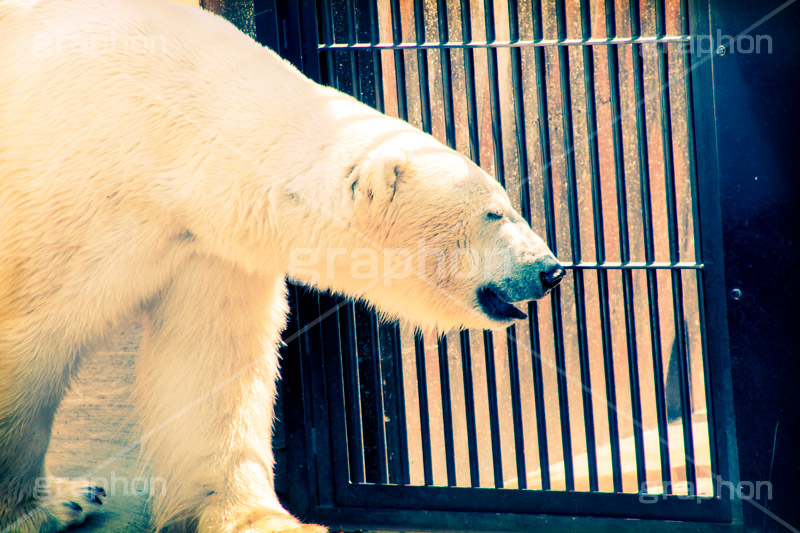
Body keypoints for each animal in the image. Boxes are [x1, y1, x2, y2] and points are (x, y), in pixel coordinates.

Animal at [0, 0, 564, 528]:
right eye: (494, 212)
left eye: (508, 203)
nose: (551, 270)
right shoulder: (67, 201)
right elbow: (28, 339)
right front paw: (47, 507)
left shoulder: (210, 247)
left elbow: (209, 360)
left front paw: (261, 518)